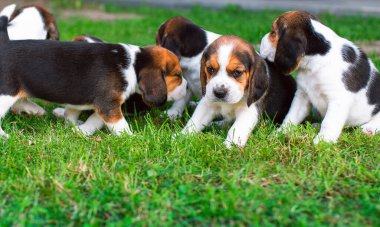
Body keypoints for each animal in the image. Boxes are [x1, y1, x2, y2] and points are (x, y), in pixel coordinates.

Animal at [260, 10, 380, 144]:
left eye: (273, 32)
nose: (261, 41)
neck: (317, 60)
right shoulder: (302, 95)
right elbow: (291, 116)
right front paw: (279, 134)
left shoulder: (338, 100)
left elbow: (328, 122)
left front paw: (323, 142)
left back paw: (368, 129)